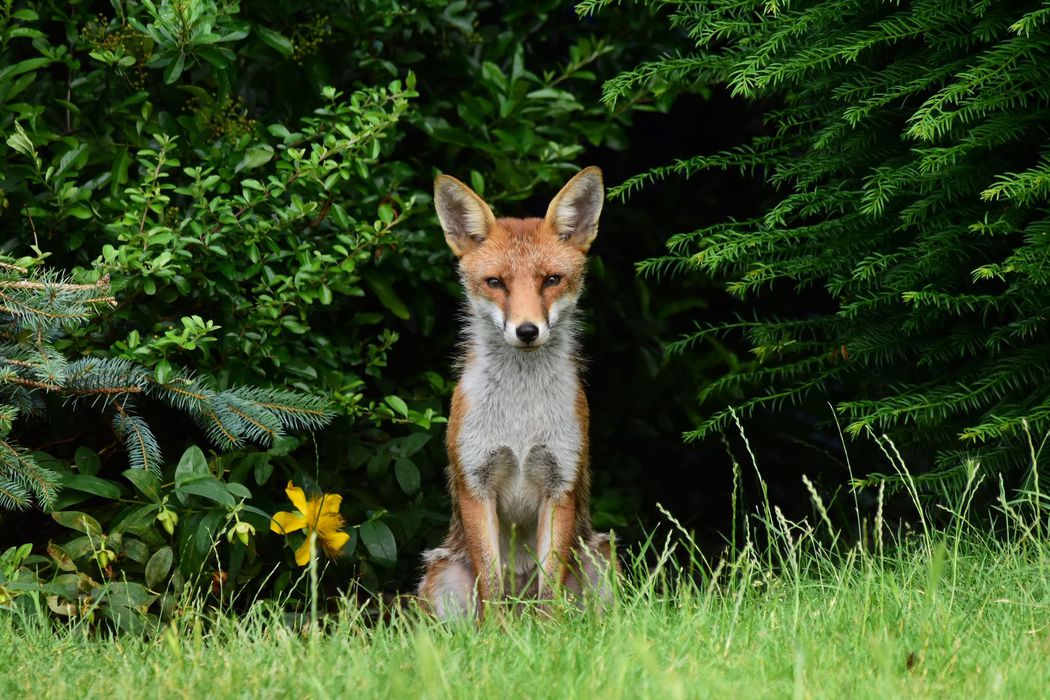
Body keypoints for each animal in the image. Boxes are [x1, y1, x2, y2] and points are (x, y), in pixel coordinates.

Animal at [417, 166, 615, 620]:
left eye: (551, 280)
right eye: (496, 283)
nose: (527, 330)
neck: (520, 421)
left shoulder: (560, 482)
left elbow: (550, 590)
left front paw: (550, 633)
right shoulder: (476, 483)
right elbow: (490, 586)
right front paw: (498, 635)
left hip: (601, 563)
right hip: (443, 577)